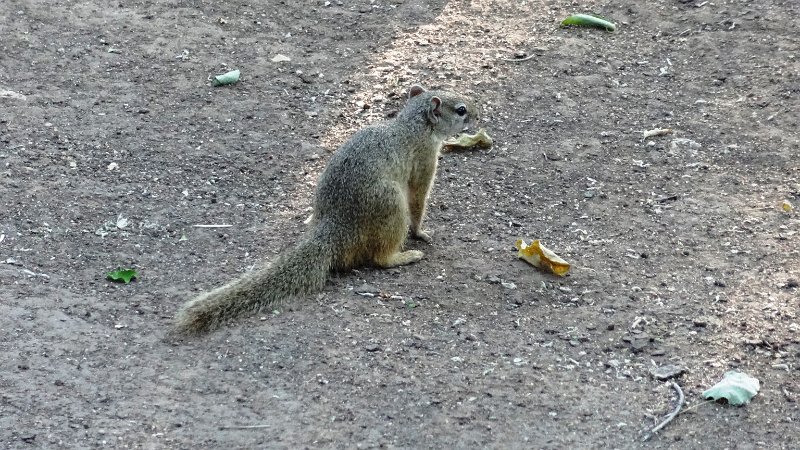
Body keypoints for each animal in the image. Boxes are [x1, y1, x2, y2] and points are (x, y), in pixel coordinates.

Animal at [173, 84, 478, 334]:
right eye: (461, 110)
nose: (479, 114)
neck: (413, 125)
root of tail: (334, 229)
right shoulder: (424, 163)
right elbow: (418, 200)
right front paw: (421, 233)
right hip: (391, 206)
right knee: (380, 258)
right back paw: (404, 256)